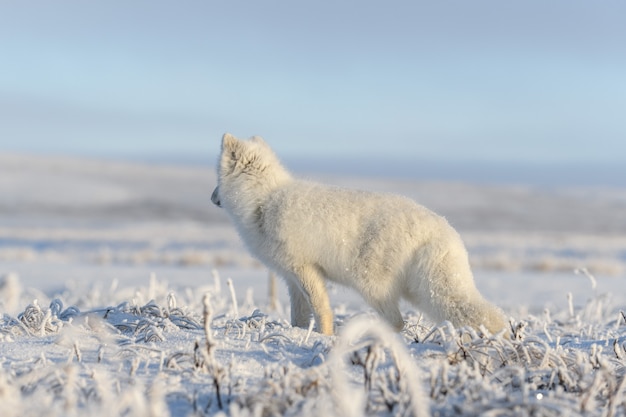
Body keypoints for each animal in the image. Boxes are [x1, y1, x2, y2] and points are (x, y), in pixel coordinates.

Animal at [212, 133, 504, 334]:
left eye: (217, 180)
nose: (212, 198)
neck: (264, 201)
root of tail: (442, 228)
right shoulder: (291, 278)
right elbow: (300, 315)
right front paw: (299, 333)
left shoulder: (305, 269)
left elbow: (321, 308)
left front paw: (324, 336)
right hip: (417, 291)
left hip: (371, 284)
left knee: (397, 322)